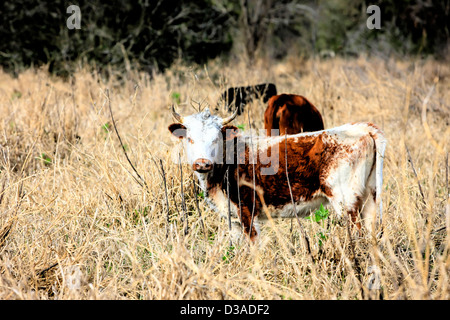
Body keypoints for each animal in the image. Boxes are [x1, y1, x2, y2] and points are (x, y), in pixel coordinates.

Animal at [169, 106, 386, 241]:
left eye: (216, 139)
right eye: (189, 138)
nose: (202, 163)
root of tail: (361, 128)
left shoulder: (247, 211)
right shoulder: (235, 220)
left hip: (345, 200)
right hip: (369, 197)